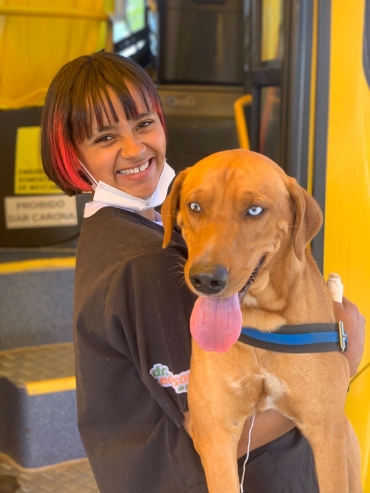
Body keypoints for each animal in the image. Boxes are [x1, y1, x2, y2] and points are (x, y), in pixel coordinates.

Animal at [162, 150, 362, 492]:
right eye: (194, 206)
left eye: (254, 211)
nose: (205, 279)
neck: (262, 321)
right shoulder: (216, 435)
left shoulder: (327, 432)